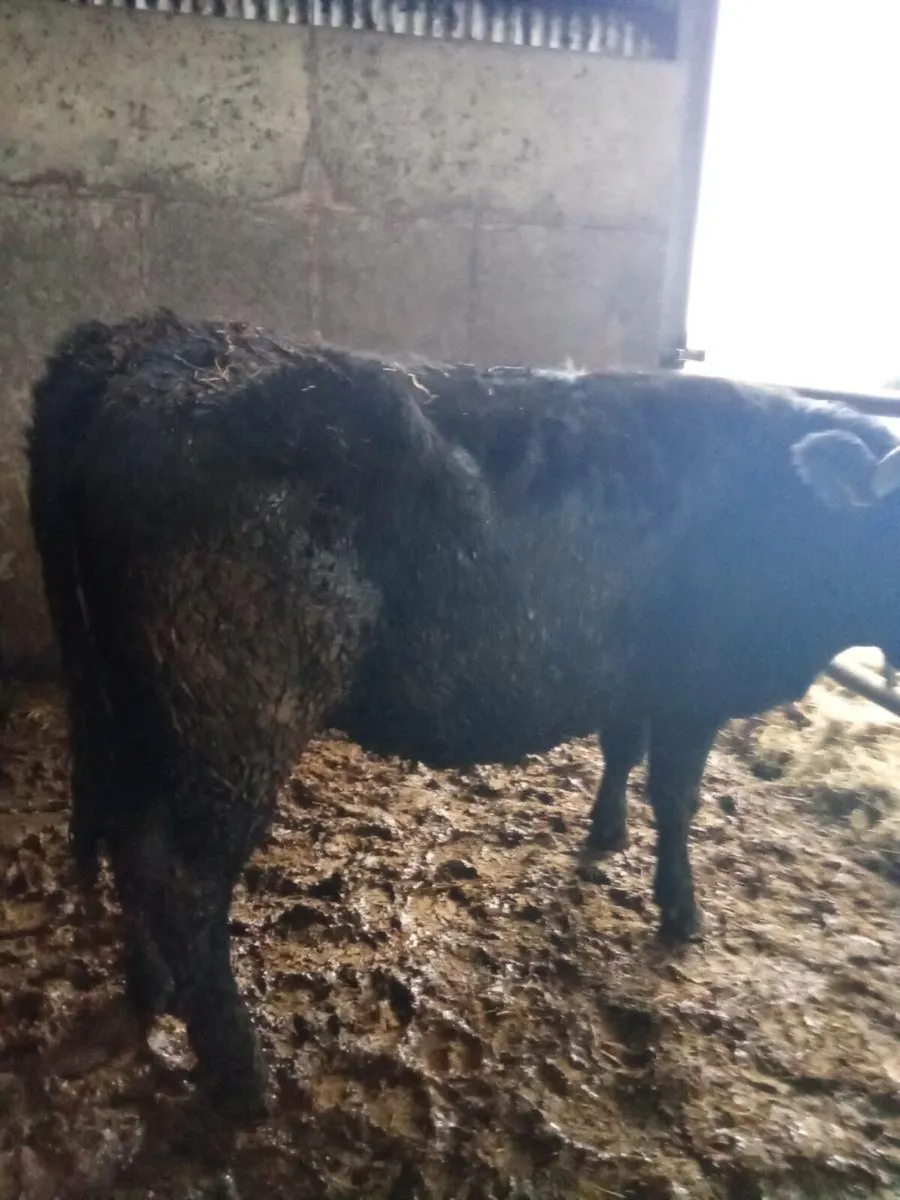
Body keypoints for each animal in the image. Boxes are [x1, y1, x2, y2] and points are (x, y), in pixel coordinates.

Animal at [27, 309, 900, 1119]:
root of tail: (146, 341)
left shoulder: (633, 672)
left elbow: (621, 747)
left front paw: (604, 834)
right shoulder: (697, 686)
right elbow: (677, 797)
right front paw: (681, 911)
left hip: (131, 701)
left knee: (126, 836)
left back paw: (150, 991)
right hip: (232, 715)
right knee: (184, 878)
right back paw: (241, 1080)